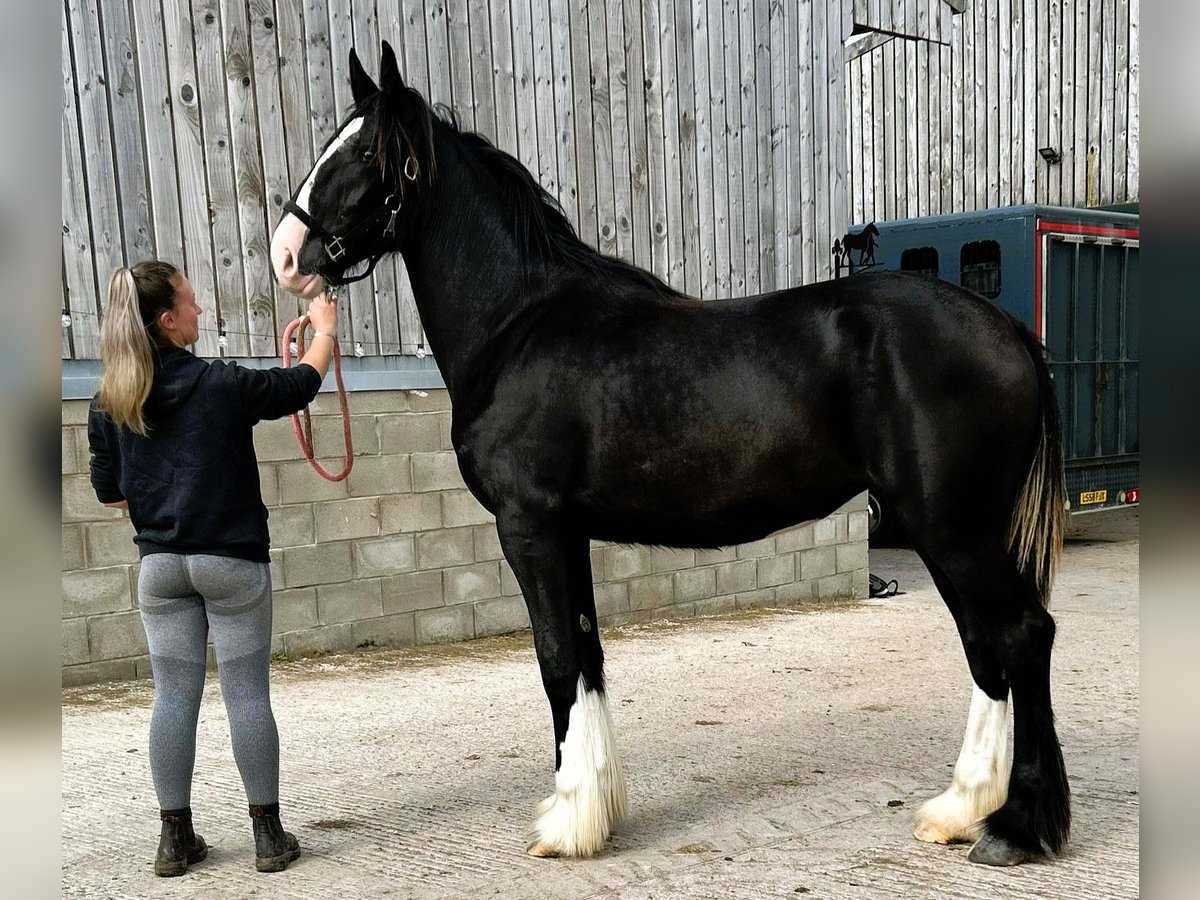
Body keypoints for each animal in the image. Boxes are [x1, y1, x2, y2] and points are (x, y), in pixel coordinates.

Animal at [272, 44, 1070, 868]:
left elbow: (556, 660)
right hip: (945, 530)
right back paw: (961, 809)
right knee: (986, 645)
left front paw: (565, 823)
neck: (520, 324)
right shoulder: (567, 532)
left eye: (366, 152)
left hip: (954, 528)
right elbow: (586, 655)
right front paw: (594, 810)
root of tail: (1007, 329)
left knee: (1021, 636)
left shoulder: (530, 526)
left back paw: (1016, 827)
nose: (288, 255)